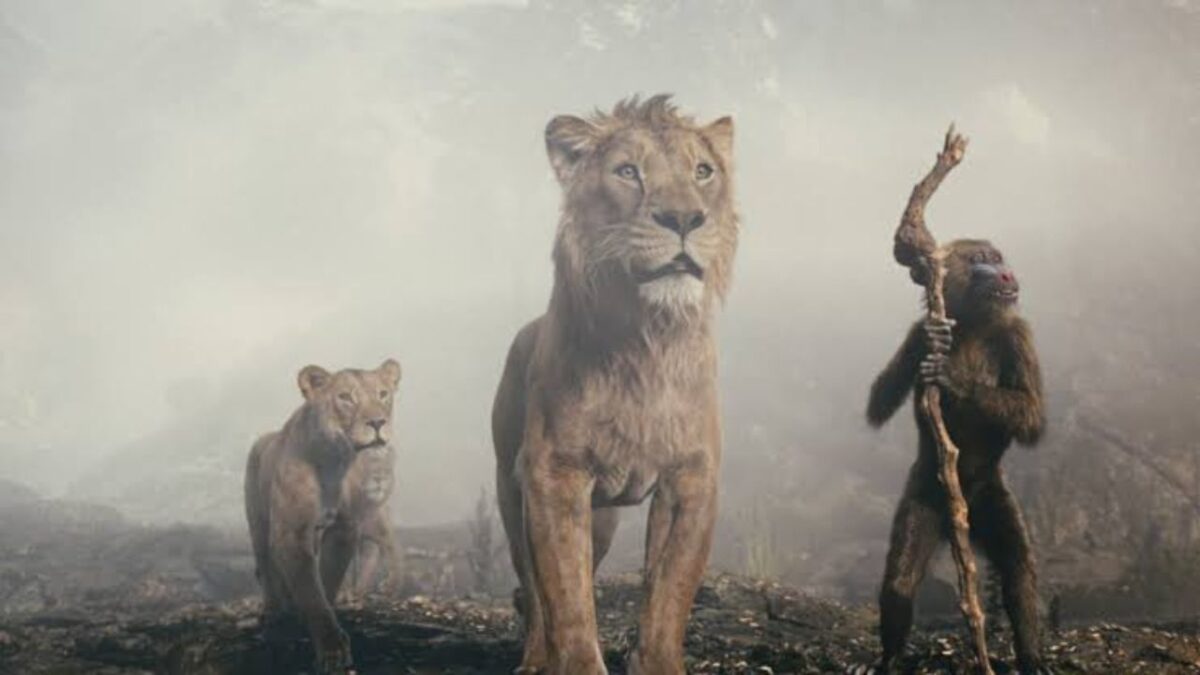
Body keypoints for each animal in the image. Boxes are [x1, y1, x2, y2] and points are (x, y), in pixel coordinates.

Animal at [244, 359, 401, 674]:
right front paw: (332, 651)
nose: (378, 423)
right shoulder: (291, 533)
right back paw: (274, 613)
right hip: (258, 524)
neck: (334, 461)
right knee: (266, 567)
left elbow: (326, 582)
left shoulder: (344, 530)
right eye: (345, 397)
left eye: (382, 394)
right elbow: (310, 590)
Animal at [492, 95, 738, 675]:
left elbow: (670, 593)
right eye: (628, 172)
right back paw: (534, 659)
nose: (684, 218)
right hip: (513, 492)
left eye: (703, 171)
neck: (647, 340)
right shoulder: (554, 475)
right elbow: (567, 597)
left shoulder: (691, 479)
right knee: (533, 590)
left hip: (601, 519)